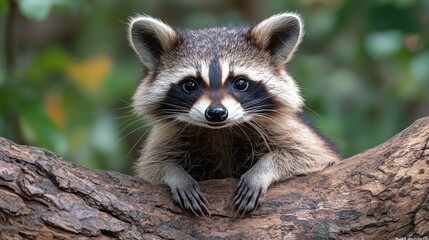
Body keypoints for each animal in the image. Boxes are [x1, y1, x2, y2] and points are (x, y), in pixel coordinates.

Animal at [127, 12, 342, 217]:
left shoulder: (293, 131)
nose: (216, 113)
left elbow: (310, 155)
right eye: (190, 85)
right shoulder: (168, 136)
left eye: (240, 83)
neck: (221, 130)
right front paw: (175, 174)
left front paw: (262, 170)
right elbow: (152, 166)